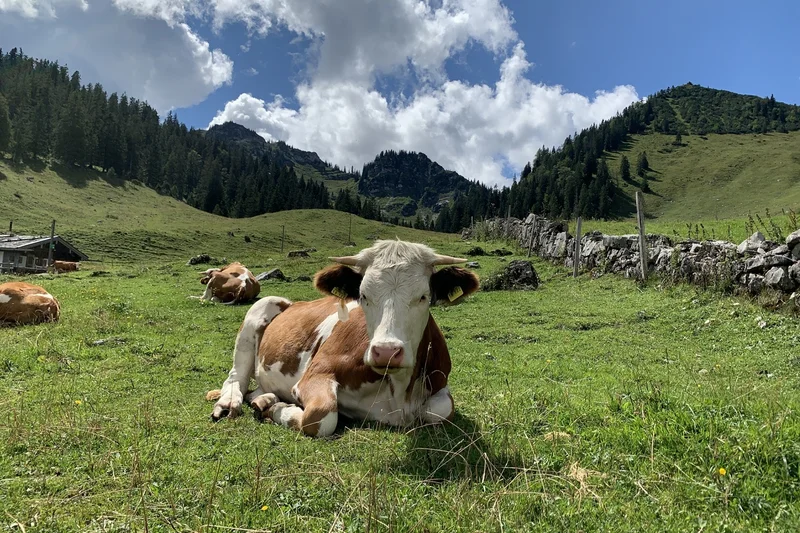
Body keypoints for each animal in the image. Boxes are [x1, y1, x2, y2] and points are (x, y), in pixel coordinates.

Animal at [206, 239, 480, 437]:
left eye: (423, 296)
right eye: (363, 295)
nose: (386, 351)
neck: (399, 392)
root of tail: (294, 302)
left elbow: (440, 410)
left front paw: (272, 405)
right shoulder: (316, 374)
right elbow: (321, 417)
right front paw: (280, 410)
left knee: (256, 390)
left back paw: (264, 399)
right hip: (259, 310)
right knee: (236, 379)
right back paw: (230, 403)